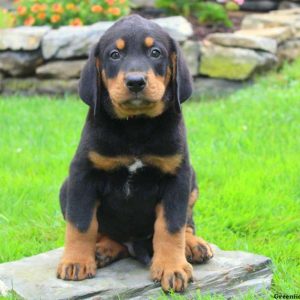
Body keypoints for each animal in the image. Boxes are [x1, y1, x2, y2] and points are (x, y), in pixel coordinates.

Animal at [56, 15, 213, 292]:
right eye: (114, 54)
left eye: (155, 52)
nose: (136, 82)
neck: (136, 126)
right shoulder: (82, 175)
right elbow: (81, 223)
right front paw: (75, 261)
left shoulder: (177, 177)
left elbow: (171, 226)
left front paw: (172, 267)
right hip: (66, 187)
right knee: (108, 234)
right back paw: (102, 250)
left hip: (192, 183)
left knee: (187, 224)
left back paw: (194, 245)